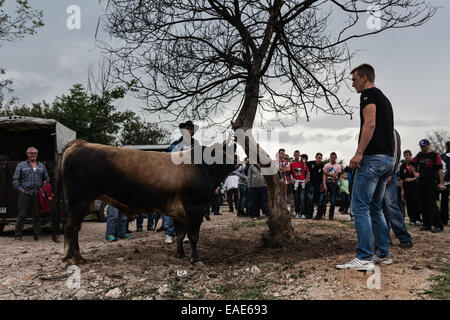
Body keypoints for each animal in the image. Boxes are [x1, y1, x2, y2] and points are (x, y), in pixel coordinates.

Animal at [54, 139, 237, 264]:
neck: (203, 167)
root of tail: (79, 144)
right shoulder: (195, 207)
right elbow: (193, 235)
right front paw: (195, 259)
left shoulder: (179, 213)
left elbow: (180, 234)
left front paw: (180, 254)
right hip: (79, 200)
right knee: (71, 227)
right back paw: (73, 259)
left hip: (81, 202)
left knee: (75, 228)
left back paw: (79, 258)